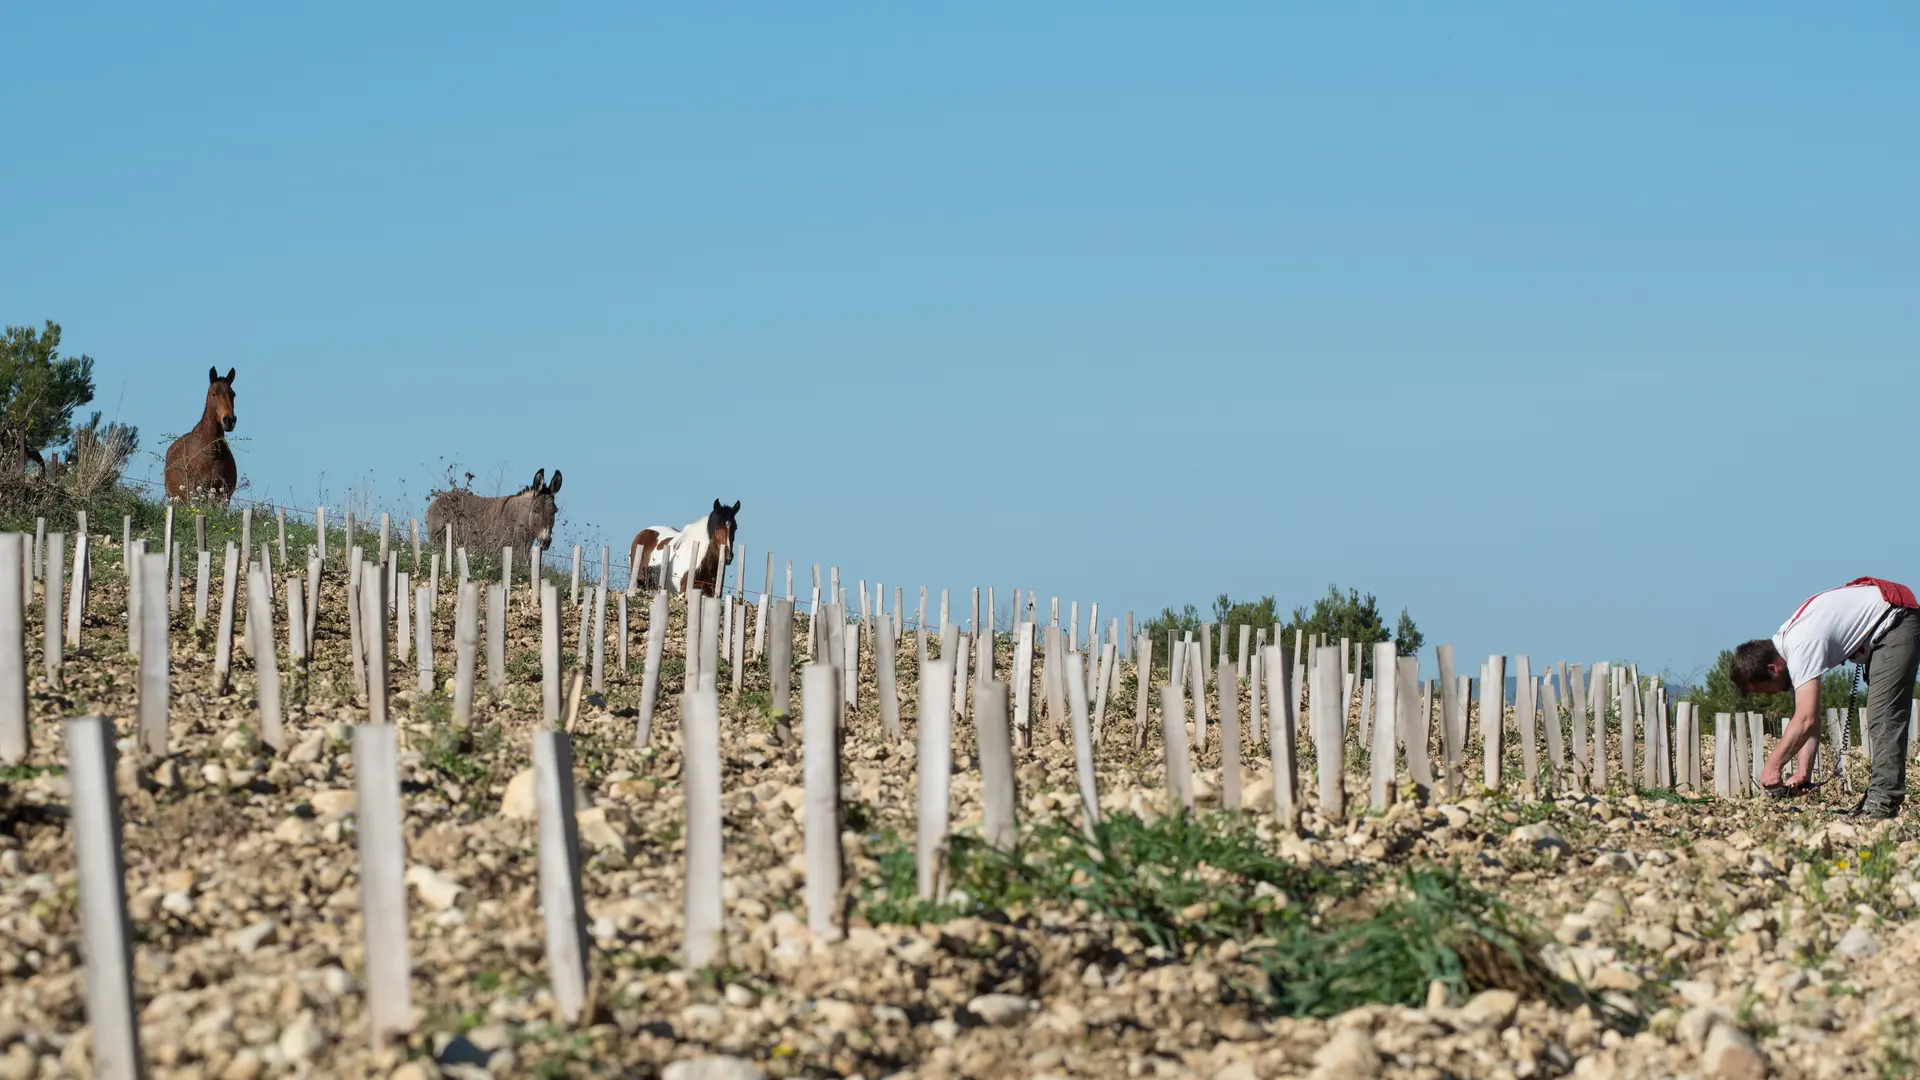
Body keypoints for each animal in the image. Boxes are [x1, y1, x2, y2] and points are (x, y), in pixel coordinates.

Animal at [163, 365, 240, 503]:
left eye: (233, 394)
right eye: (214, 393)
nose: (229, 420)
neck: (212, 454)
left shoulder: (224, 495)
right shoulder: (195, 492)